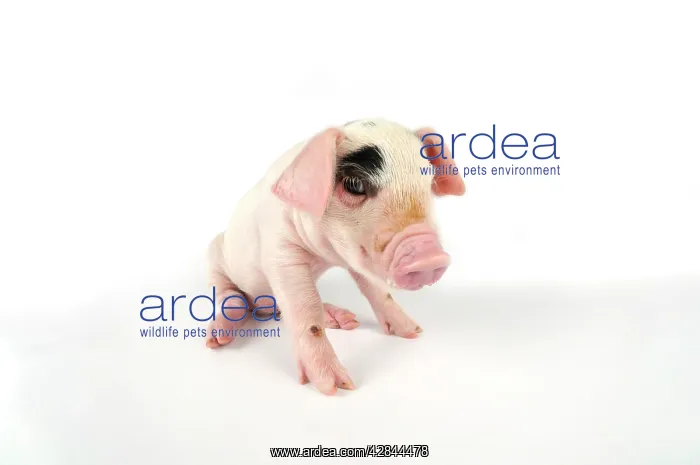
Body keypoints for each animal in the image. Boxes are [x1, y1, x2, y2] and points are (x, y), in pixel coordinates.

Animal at [205, 118, 465, 395]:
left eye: (429, 183)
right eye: (354, 185)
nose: (429, 254)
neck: (324, 254)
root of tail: (263, 308)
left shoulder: (356, 257)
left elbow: (377, 291)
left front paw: (413, 332)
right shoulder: (280, 251)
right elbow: (305, 307)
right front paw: (338, 387)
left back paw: (346, 320)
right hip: (215, 256)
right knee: (232, 298)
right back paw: (217, 339)